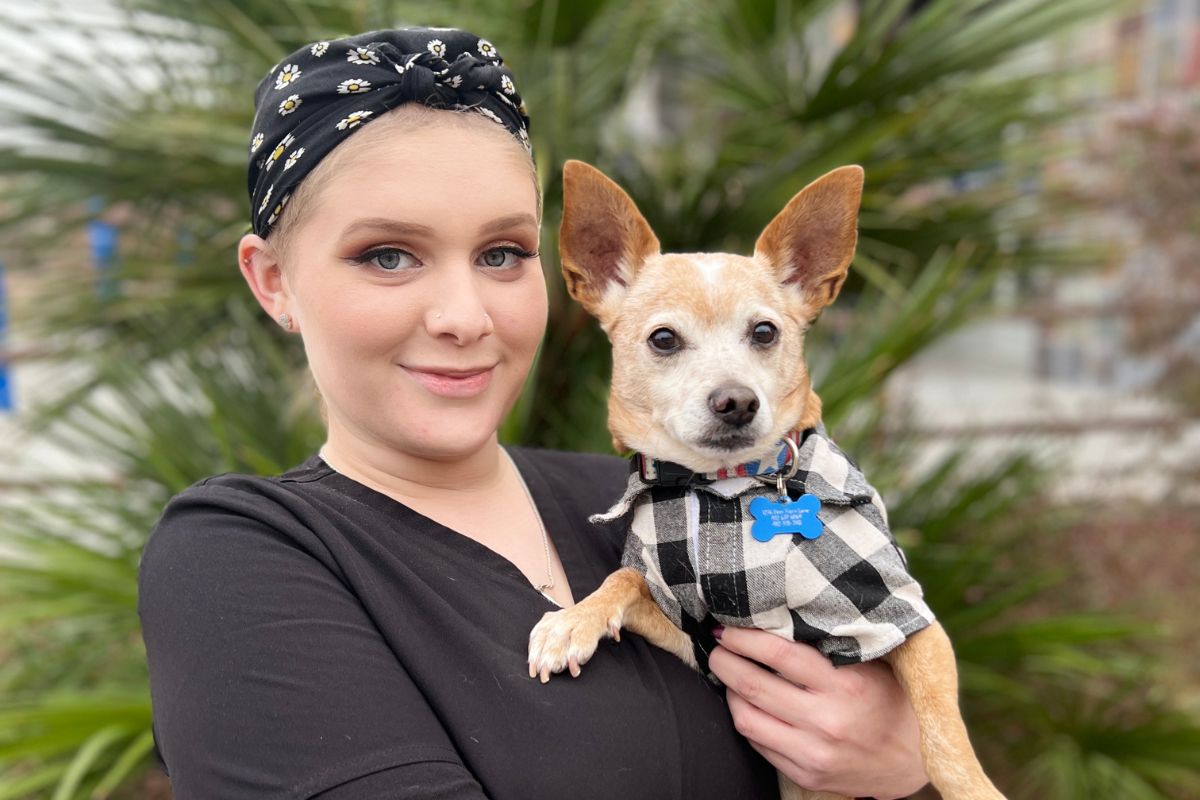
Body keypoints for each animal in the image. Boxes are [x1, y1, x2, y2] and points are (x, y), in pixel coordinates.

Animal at [530, 160, 1008, 800]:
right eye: (664, 339)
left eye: (764, 333)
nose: (736, 400)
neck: (725, 488)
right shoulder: (702, 640)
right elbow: (625, 578)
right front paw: (574, 619)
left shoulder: (902, 619)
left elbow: (942, 736)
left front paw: (975, 787)